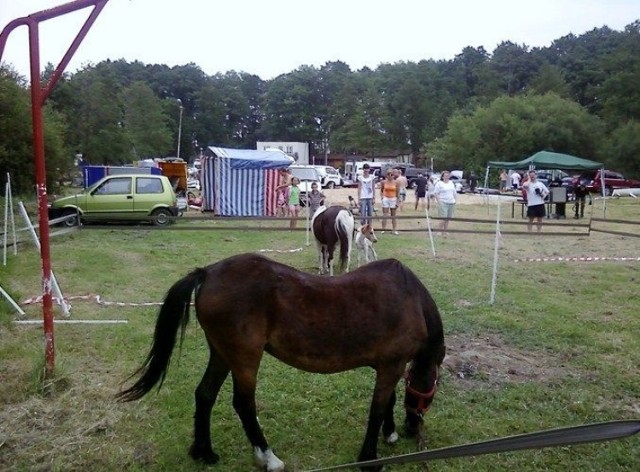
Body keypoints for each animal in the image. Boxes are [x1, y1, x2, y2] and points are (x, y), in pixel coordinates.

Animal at [116, 253, 444, 470]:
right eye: (430, 391)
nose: (414, 428)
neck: (411, 299)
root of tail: (207, 272)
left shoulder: (388, 366)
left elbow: (387, 401)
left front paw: (389, 433)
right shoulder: (391, 365)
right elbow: (377, 409)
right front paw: (369, 457)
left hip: (222, 354)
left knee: (205, 395)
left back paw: (204, 452)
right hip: (245, 358)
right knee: (244, 404)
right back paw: (267, 457)